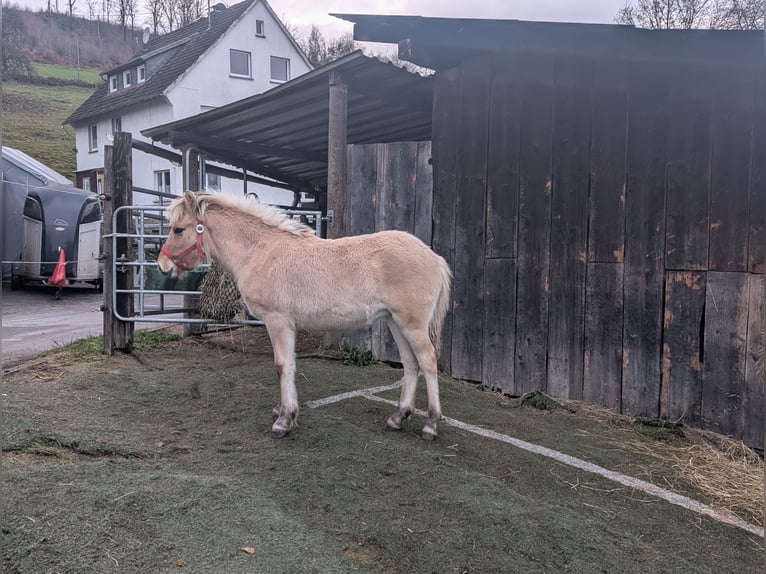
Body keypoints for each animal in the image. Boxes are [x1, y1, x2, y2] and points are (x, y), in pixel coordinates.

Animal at [157, 191, 452, 440]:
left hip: (412, 325)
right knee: (410, 364)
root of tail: (434, 258)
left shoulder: (277, 321)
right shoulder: (287, 325)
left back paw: (431, 425)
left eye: (178, 229)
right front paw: (283, 412)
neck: (260, 250)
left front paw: (284, 421)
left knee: (427, 361)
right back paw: (398, 417)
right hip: (394, 322)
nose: (162, 265)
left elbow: (282, 365)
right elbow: (289, 364)